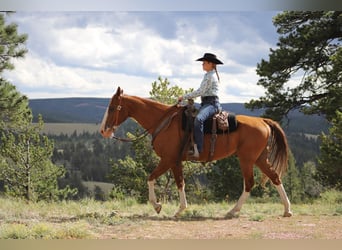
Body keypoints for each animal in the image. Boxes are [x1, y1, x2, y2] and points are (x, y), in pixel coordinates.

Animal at [98, 87, 292, 218]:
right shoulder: (175, 161)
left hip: (247, 159)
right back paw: (287, 210)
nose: (103, 131)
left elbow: (152, 178)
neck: (163, 121)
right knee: (275, 177)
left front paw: (160, 206)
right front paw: (178, 209)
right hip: (259, 158)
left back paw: (233, 211)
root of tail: (263, 121)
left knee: (250, 183)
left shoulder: (168, 159)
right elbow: (179, 183)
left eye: (113, 107)